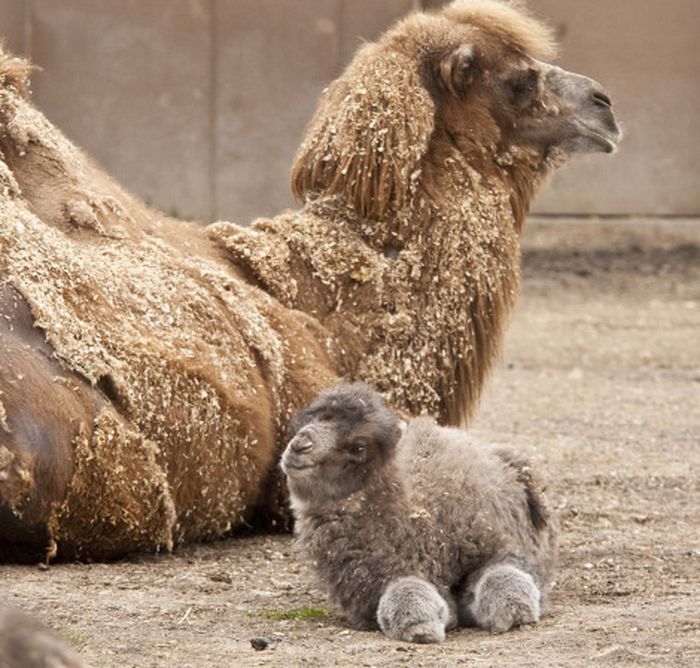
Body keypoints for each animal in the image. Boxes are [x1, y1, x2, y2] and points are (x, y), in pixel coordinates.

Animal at [280, 384, 556, 644]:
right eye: (306, 422)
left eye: (358, 447)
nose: (299, 446)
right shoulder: (378, 582)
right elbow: (404, 592)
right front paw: (423, 626)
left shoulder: (499, 544)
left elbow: (502, 575)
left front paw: (515, 613)